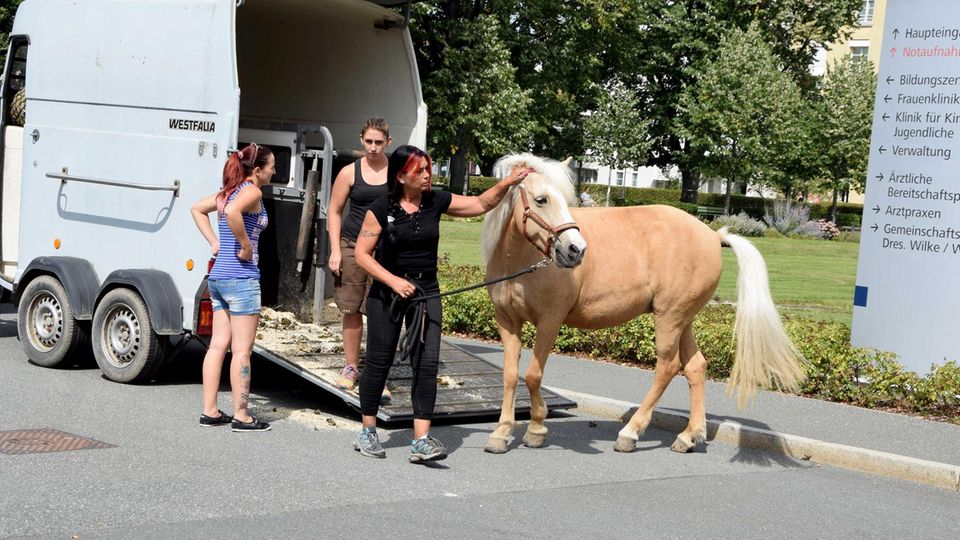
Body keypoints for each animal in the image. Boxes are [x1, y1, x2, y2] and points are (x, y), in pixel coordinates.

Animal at [480, 154, 805, 454]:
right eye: (541, 199)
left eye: (566, 199)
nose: (576, 250)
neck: (520, 261)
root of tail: (713, 235)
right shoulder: (507, 321)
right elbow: (510, 375)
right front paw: (501, 433)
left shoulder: (550, 320)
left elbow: (533, 375)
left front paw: (536, 429)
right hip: (684, 319)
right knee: (696, 366)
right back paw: (689, 436)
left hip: (669, 317)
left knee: (668, 366)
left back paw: (631, 433)